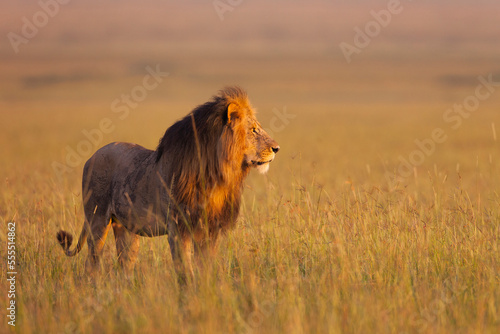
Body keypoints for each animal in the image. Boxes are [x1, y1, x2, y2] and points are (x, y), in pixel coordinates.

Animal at [57, 87, 282, 280]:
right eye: (253, 130)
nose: (277, 148)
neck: (218, 175)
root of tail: (91, 156)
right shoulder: (178, 227)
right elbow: (184, 269)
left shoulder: (210, 227)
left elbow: (205, 265)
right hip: (97, 220)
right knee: (91, 263)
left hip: (126, 229)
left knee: (125, 265)